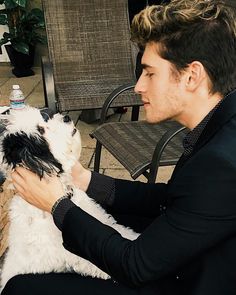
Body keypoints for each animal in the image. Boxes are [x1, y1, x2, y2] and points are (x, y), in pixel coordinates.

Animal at [0, 107, 138, 292]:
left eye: (45, 117)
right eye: (41, 130)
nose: (66, 117)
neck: (66, 193)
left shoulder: (100, 220)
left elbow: (122, 232)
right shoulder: (74, 251)